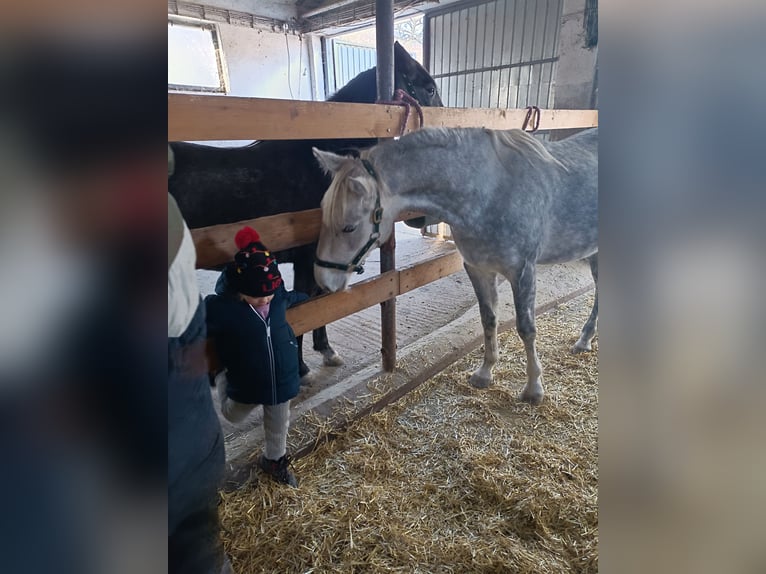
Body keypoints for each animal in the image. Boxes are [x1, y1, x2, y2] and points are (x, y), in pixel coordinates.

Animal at [168, 42, 444, 380]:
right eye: (429, 89)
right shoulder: (306, 260)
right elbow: (304, 311)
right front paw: (300, 368)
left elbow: (320, 305)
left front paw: (325, 351)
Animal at [312, 127, 600, 404]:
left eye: (349, 227)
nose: (323, 280)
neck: (490, 191)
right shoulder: (478, 269)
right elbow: (488, 319)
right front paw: (485, 373)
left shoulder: (523, 272)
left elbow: (526, 329)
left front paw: (533, 389)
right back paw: (585, 339)